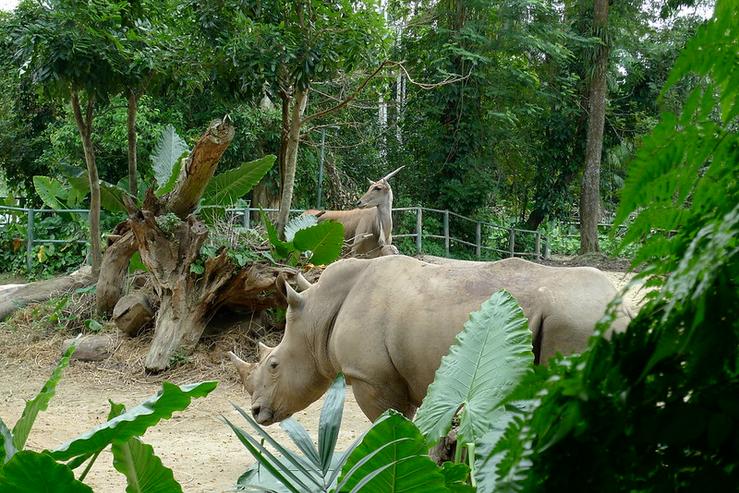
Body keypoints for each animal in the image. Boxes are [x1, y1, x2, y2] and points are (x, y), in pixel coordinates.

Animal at [229, 256, 630, 425]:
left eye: (274, 365)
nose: (256, 413)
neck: (318, 315)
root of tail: (623, 306)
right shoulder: (398, 378)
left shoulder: (370, 377)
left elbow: (386, 426)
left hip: (579, 321)